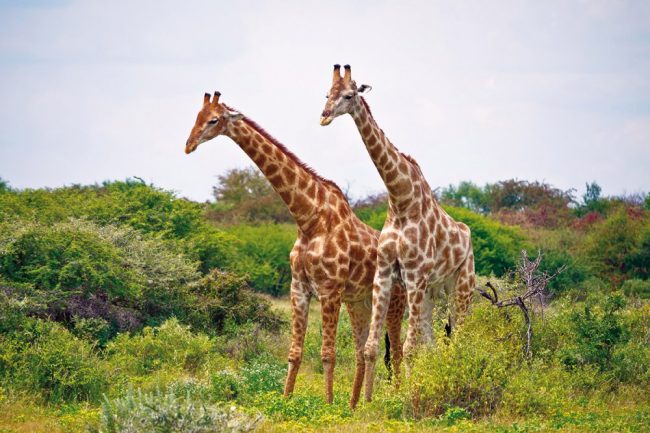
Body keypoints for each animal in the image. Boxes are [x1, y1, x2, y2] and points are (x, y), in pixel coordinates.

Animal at [185, 91, 406, 408]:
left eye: (214, 120)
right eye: (197, 116)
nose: (188, 145)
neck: (308, 218)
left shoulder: (329, 290)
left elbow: (327, 354)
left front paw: (328, 407)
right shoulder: (299, 287)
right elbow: (294, 352)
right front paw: (286, 400)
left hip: (394, 303)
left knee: (397, 352)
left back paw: (394, 400)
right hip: (359, 302)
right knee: (361, 351)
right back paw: (354, 406)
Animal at [320, 65, 476, 402]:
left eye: (349, 95)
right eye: (327, 93)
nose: (324, 116)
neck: (401, 199)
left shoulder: (414, 274)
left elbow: (408, 347)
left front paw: (405, 400)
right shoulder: (384, 272)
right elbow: (372, 347)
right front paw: (366, 403)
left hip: (461, 285)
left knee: (459, 335)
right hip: (431, 291)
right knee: (433, 343)